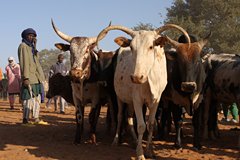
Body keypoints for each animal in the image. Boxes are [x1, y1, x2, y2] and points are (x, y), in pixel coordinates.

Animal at [95, 24, 189, 159]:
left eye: (151, 46)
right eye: (132, 47)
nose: (137, 77)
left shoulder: (156, 101)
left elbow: (150, 124)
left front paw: (150, 151)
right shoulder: (137, 100)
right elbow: (141, 126)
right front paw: (140, 154)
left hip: (130, 102)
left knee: (129, 118)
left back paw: (134, 141)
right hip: (120, 97)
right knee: (120, 117)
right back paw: (116, 140)